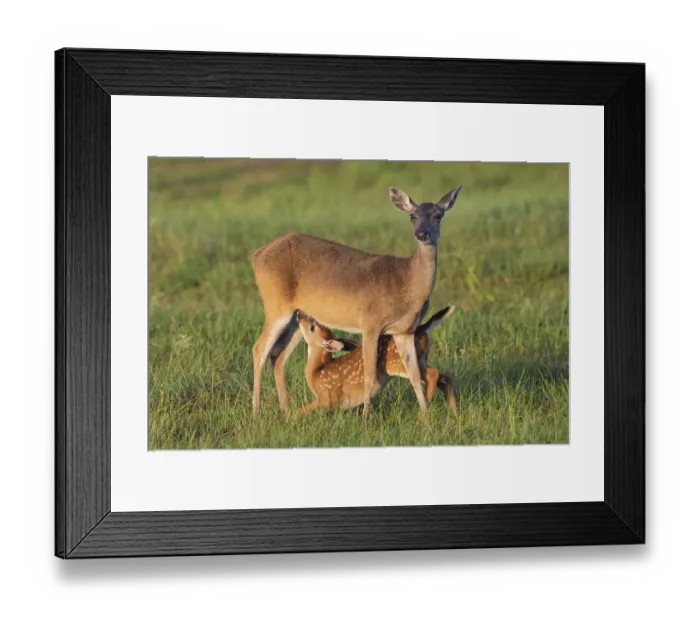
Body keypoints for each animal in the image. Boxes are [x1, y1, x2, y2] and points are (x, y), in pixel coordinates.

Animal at [294, 306, 458, 413]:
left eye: (312, 327)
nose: (299, 313)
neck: (317, 372)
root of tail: (421, 329)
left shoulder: (328, 397)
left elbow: (301, 410)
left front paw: (290, 418)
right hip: (421, 359)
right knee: (445, 377)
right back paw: (454, 412)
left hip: (396, 364)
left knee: (433, 374)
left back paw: (424, 411)